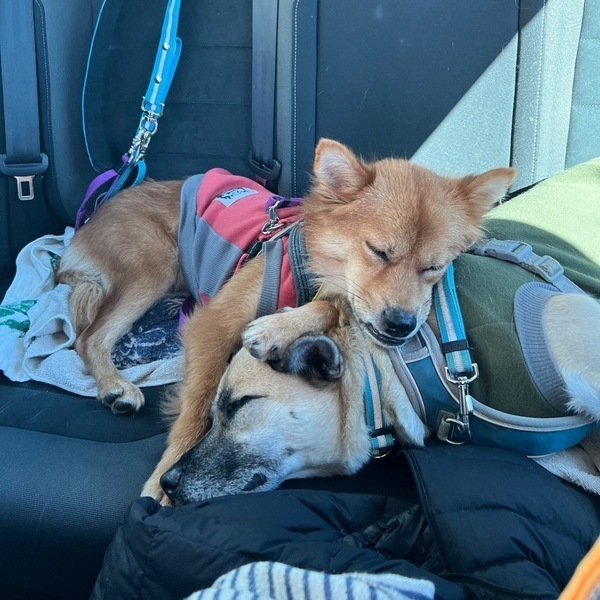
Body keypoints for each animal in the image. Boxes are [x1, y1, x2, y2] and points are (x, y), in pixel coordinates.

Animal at [56, 139, 516, 502]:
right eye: (379, 251)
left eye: (434, 268)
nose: (401, 325)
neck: (309, 273)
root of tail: (95, 215)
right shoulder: (213, 322)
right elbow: (198, 407)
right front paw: (161, 485)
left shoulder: (337, 300)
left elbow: (333, 306)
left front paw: (278, 329)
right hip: (154, 264)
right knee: (88, 337)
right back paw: (115, 384)